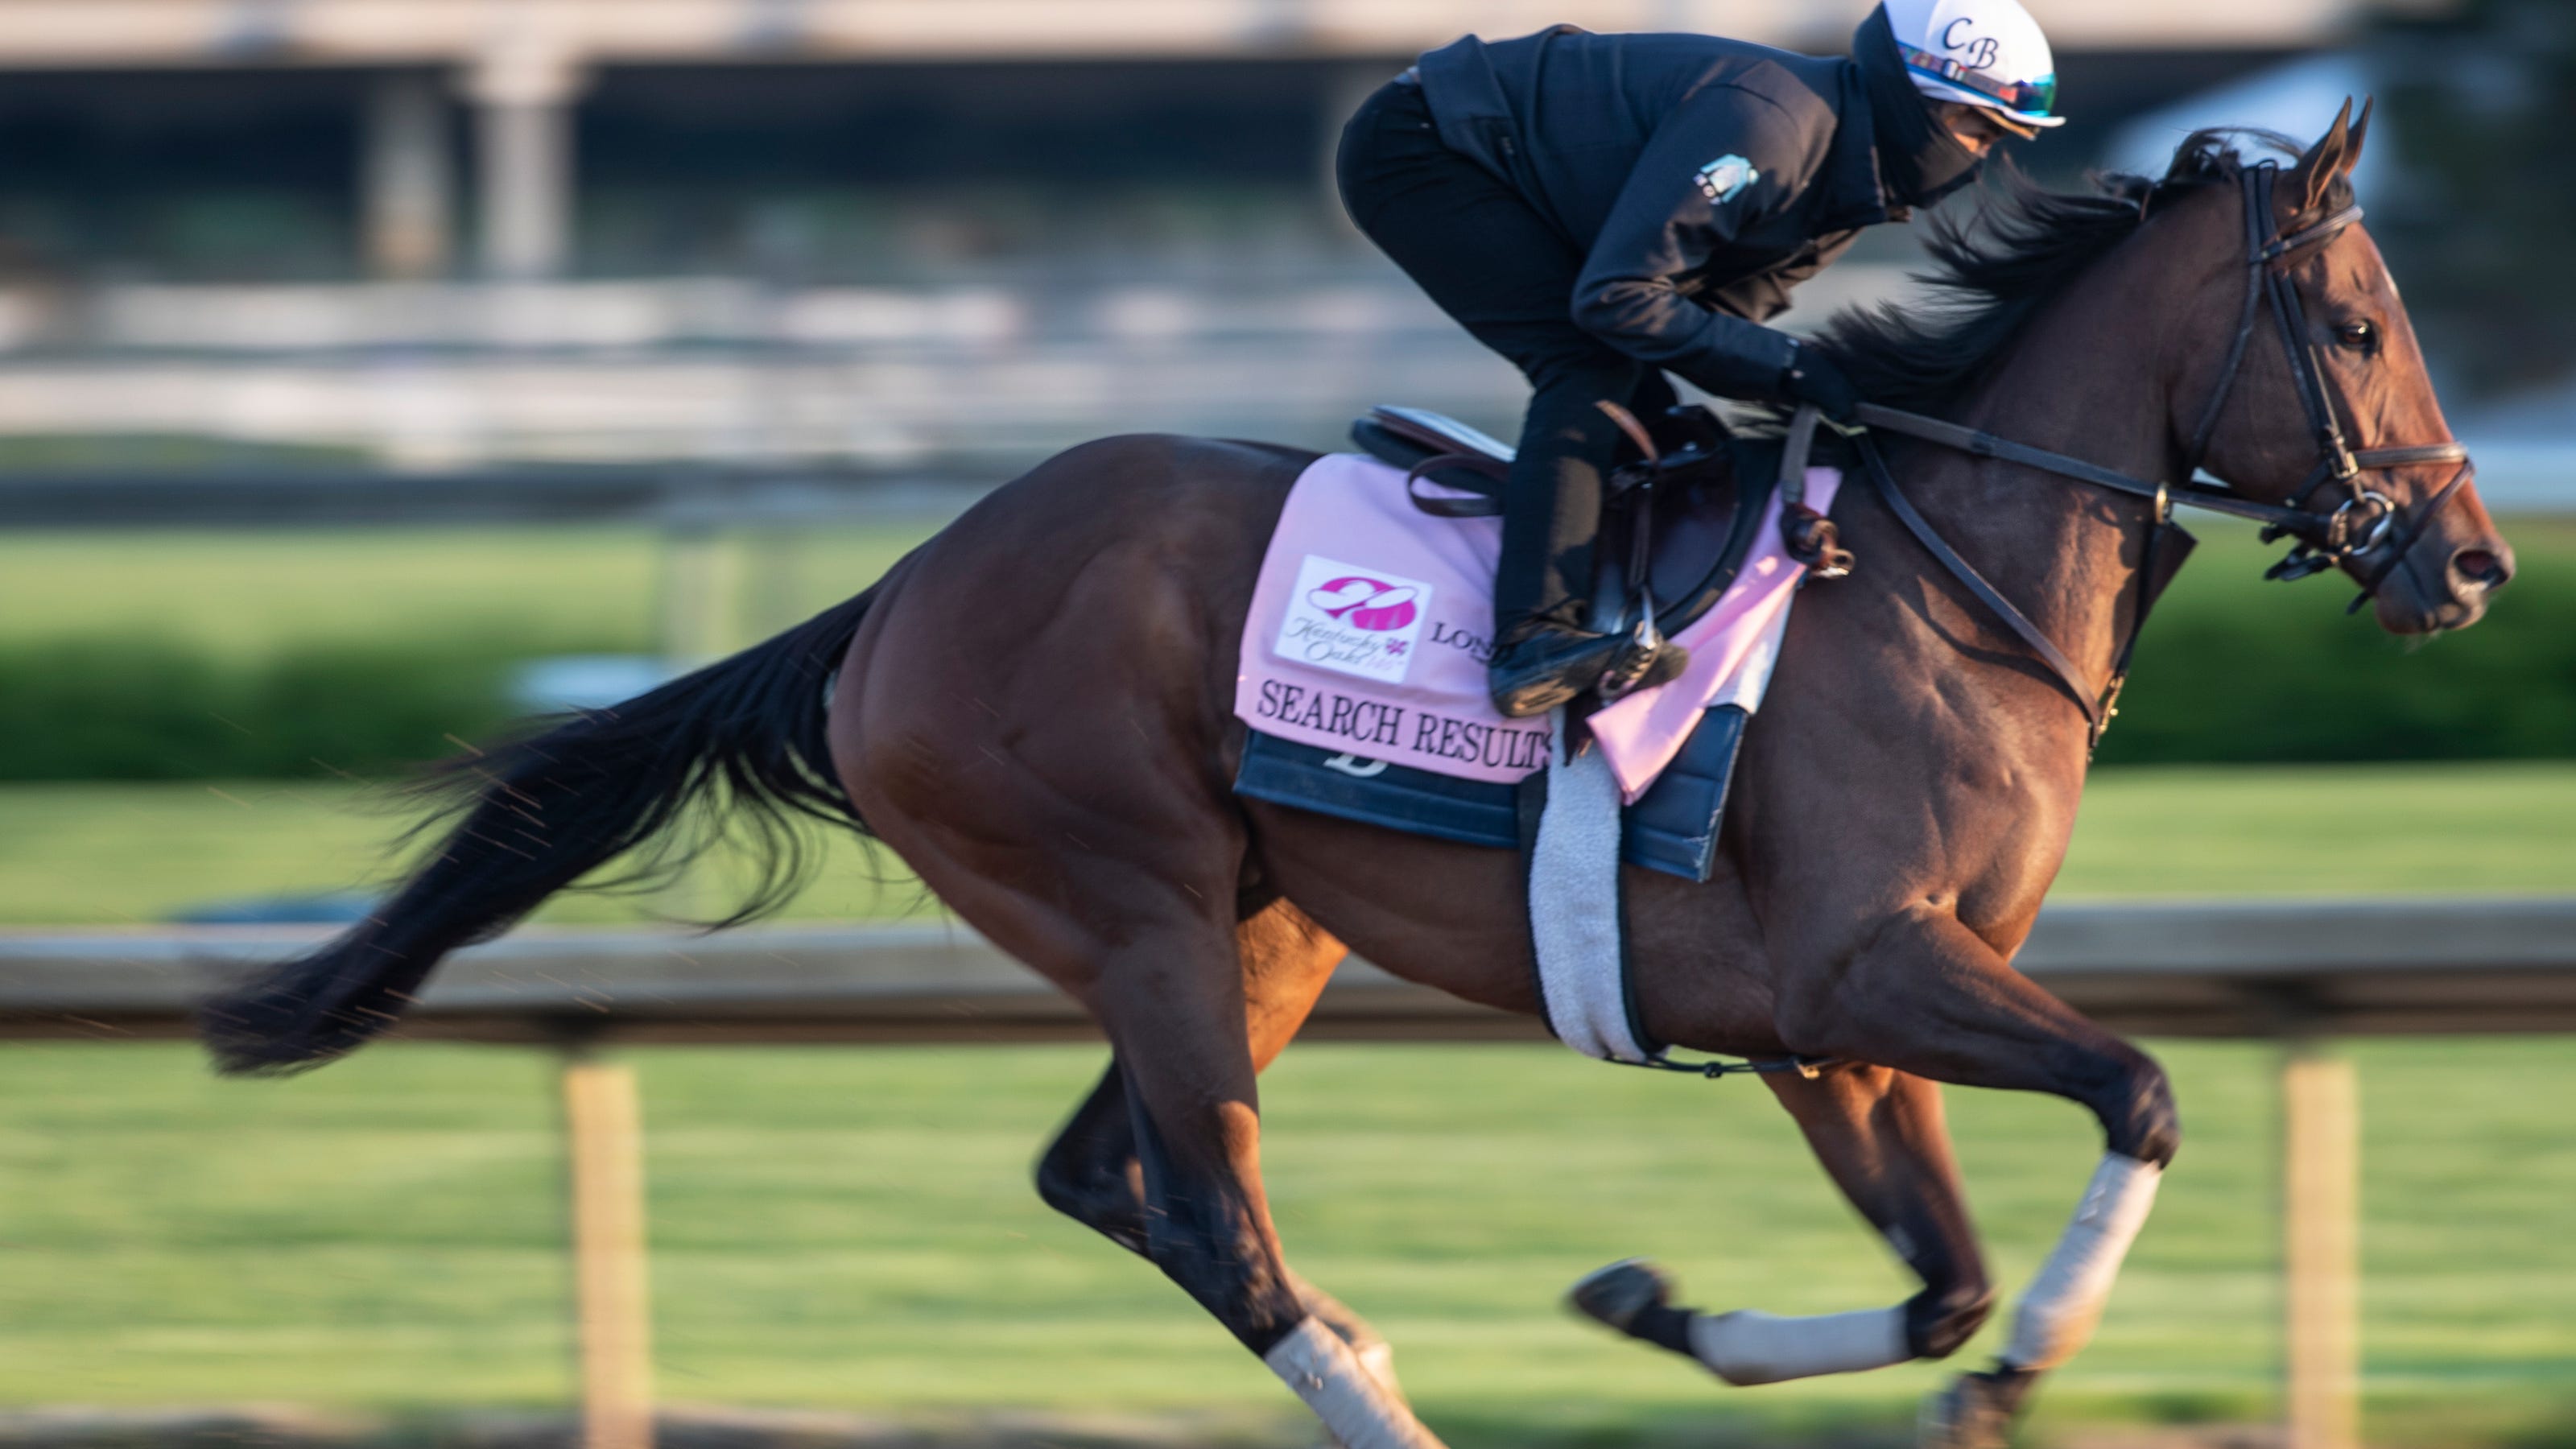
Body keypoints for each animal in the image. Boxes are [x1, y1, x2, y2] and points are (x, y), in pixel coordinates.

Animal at [202, 108, 2513, 1449]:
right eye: (2358, 323)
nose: (2472, 564)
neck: (1946, 577)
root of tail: (900, 587)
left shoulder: (1822, 1032)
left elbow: (1936, 1273)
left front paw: (1661, 1307)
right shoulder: (1865, 973)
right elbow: (2140, 1096)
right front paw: (2026, 1364)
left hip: (1264, 924)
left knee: (1117, 1184)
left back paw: (1373, 1351)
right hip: (1133, 904)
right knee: (1208, 1219)